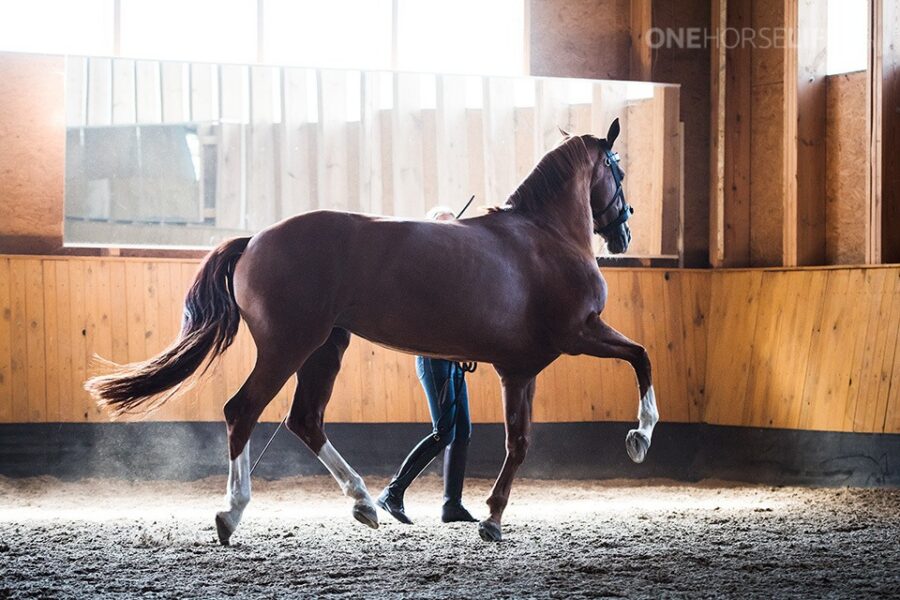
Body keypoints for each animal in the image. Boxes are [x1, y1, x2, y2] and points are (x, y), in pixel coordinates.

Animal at [85, 118, 659, 544]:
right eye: (619, 170)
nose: (625, 228)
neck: (544, 237)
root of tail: (255, 240)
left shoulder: (518, 369)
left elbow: (519, 442)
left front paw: (492, 519)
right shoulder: (579, 333)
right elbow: (641, 356)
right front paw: (639, 437)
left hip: (325, 347)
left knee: (304, 419)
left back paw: (365, 503)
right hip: (289, 346)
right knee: (243, 410)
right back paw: (233, 513)